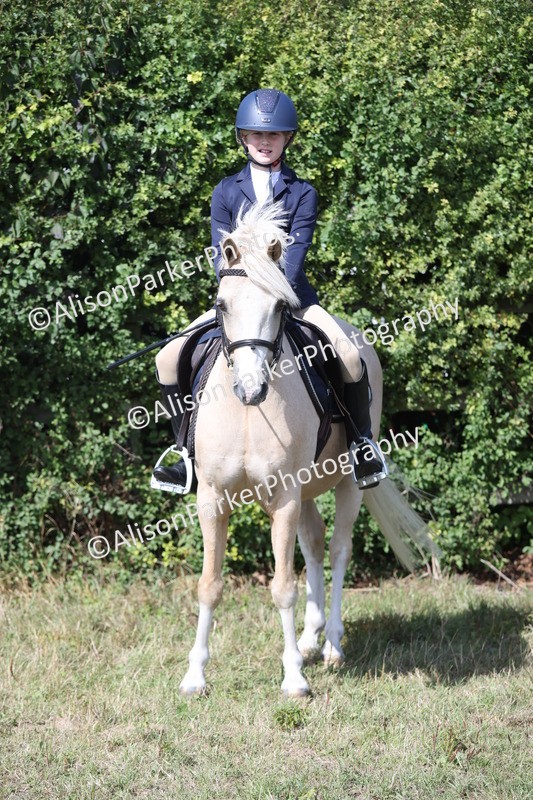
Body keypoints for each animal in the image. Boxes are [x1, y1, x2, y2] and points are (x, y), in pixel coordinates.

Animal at [179, 201, 436, 697]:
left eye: (281, 306)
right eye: (222, 305)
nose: (251, 389)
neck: (246, 414)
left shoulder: (283, 497)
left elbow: (283, 586)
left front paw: (294, 679)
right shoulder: (213, 499)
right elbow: (209, 584)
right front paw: (195, 675)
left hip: (346, 483)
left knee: (337, 550)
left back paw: (332, 644)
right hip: (306, 491)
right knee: (315, 545)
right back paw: (311, 638)